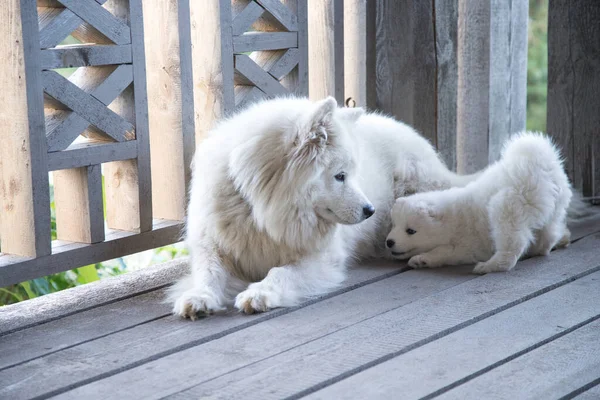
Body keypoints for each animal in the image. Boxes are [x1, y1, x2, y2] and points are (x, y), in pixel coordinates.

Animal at [170, 94, 478, 318]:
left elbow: (280, 272)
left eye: (353, 174)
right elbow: (208, 273)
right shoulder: (212, 246)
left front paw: (260, 293)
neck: (259, 212)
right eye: (340, 176)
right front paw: (199, 297)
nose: (370, 211)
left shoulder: (320, 258)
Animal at [386, 133, 576, 274]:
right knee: (549, 234)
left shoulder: (468, 243)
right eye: (394, 225)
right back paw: (540, 248)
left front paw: (422, 259)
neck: (452, 220)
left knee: (512, 244)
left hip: (507, 206)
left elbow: (445, 252)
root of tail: (542, 165)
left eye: (411, 231)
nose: (389, 242)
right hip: (556, 209)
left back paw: (490, 266)